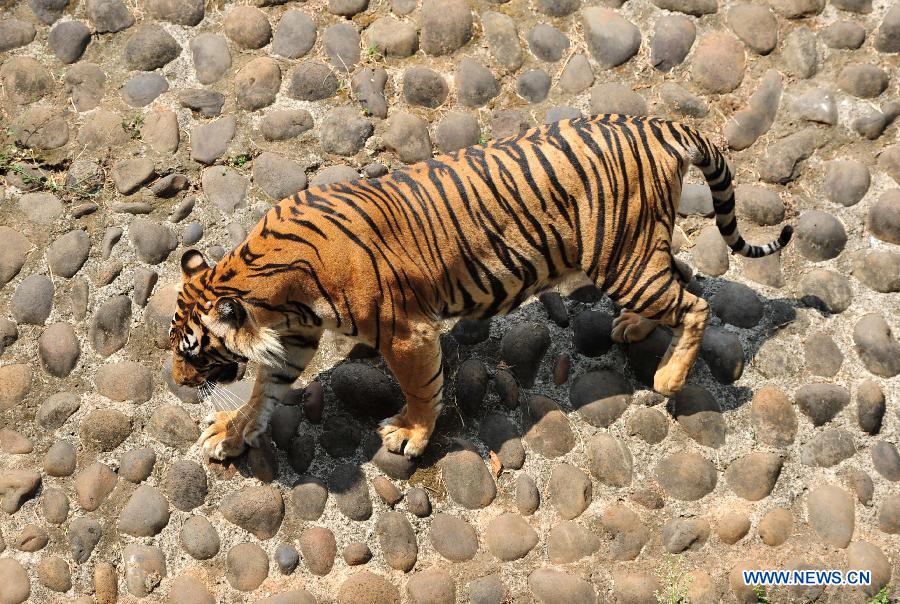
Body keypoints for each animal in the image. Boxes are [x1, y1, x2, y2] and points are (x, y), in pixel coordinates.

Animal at [171, 113, 796, 460]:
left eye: (194, 352)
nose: (177, 383)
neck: (271, 291)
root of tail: (661, 125)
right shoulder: (296, 337)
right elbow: (264, 389)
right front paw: (230, 431)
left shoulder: (407, 333)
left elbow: (421, 387)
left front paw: (410, 436)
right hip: (639, 252)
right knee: (684, 278)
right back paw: (634, 328)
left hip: (622, 258)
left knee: (695, 304)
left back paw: (667, 378)